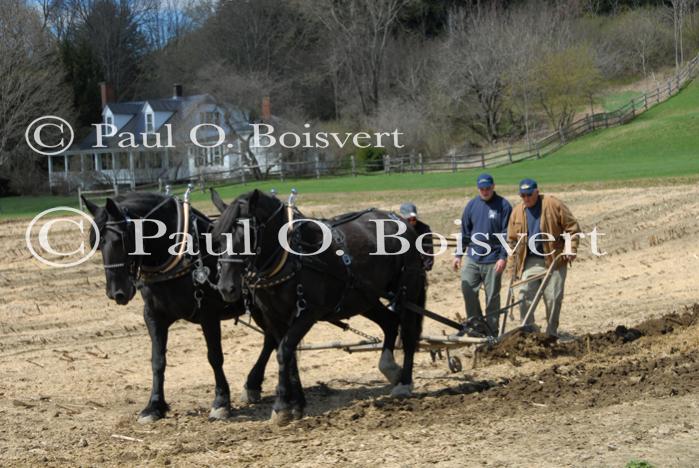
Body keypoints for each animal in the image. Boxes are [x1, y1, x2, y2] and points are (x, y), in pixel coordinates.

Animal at [213, 188, 426, 426]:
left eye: (247, 236)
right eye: (217, 238)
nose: (226, 287)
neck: (292, 256)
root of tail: (398, 219)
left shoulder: (309, 312)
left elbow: (283, 352)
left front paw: (281, 407)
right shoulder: (274, 317)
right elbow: (287, 354)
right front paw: (296, 405)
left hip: (407, 290)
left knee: (408, 333)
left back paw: (404, 383)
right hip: (365, 298)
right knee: (390, 323)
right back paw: (390, 368)